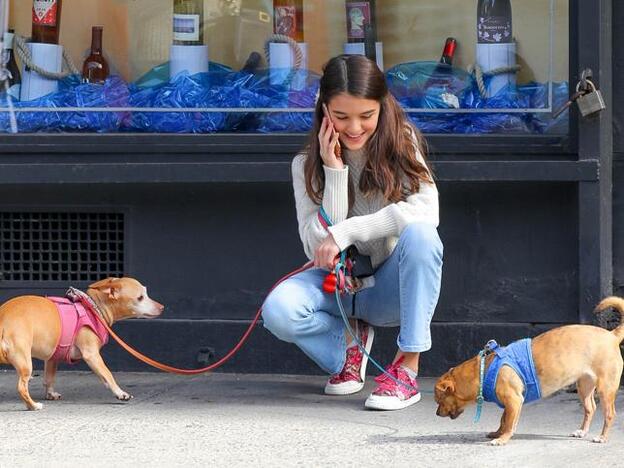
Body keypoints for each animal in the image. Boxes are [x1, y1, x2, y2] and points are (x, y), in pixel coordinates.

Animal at [0, 278, 163, 410]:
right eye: (140, 298)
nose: (162, 307)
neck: (94, 308)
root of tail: (2, 320)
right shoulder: (92, 355)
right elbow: (107, 375)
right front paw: (120, 393)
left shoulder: (52, 358)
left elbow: (49, 378)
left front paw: (50, 394)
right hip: (25, 363)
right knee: (22, 387)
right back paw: (33, 406)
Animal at [434, 296, 624, 446]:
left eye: (439, 401)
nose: (436, 413)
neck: (483, 371)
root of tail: (612, 335)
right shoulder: (510, 403)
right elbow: (503, 419)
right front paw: (498, 432)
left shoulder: (513, 400)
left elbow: (509, 423)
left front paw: (502, 438)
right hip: (584, 387)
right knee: (590, 408)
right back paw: (582, 431)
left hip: (606, 388)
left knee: (609, 414)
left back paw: (602, 437)